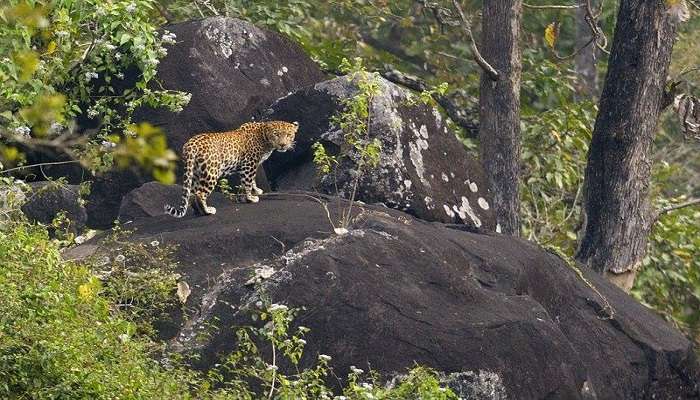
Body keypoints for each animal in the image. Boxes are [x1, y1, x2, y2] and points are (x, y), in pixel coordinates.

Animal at [166, 120, 298, 217]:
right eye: (276, 134)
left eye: (288, 135)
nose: (283, 145)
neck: (264, 137)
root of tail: (191, 144)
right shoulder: (249, 164)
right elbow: (248, 181)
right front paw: (251, 198)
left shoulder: (249, 165)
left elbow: (251, 181)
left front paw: (256, 191)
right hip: (211, 172)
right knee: (200, 193)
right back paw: (208, 211)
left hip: (195, 173)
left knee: (192, 194)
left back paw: (198, 211)